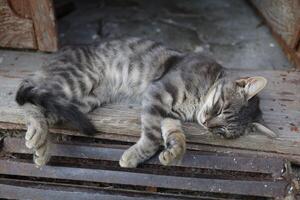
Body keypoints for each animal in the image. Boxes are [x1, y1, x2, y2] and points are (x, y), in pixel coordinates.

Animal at [15, 37, 274, 167]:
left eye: (221, 131)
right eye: (220, 107)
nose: (207, 124)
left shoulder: (169, 113)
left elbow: (176, 136)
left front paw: (174, 152)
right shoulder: (157, 93)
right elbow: (152, 138)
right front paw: (133, 157)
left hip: (81, 101)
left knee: (45, 109)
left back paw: (42, 148)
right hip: (76, 81)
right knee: (28, 101)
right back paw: (37, 134)